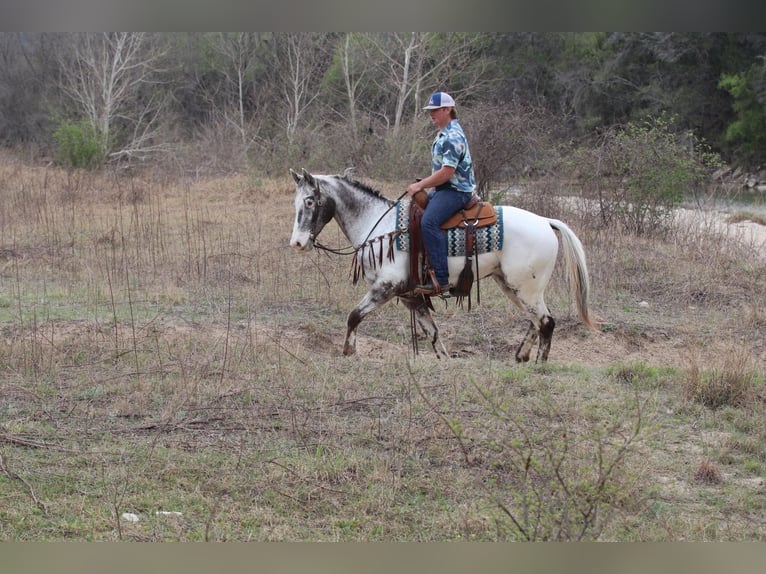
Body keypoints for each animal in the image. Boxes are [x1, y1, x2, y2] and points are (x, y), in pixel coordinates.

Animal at [289, 168, 597, 362]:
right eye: (296, 202)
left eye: (310, 201)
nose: (298, 243)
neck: (379, 224)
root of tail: (546, 222)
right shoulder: (411, 296)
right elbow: (432, 331)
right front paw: (445, 360)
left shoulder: (386, 287)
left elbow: (354, 316)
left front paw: (349, 352)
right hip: (513, 286)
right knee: (536, 321)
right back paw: (521, 356)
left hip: (526, 288)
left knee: (546, 322)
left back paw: (539, 364)